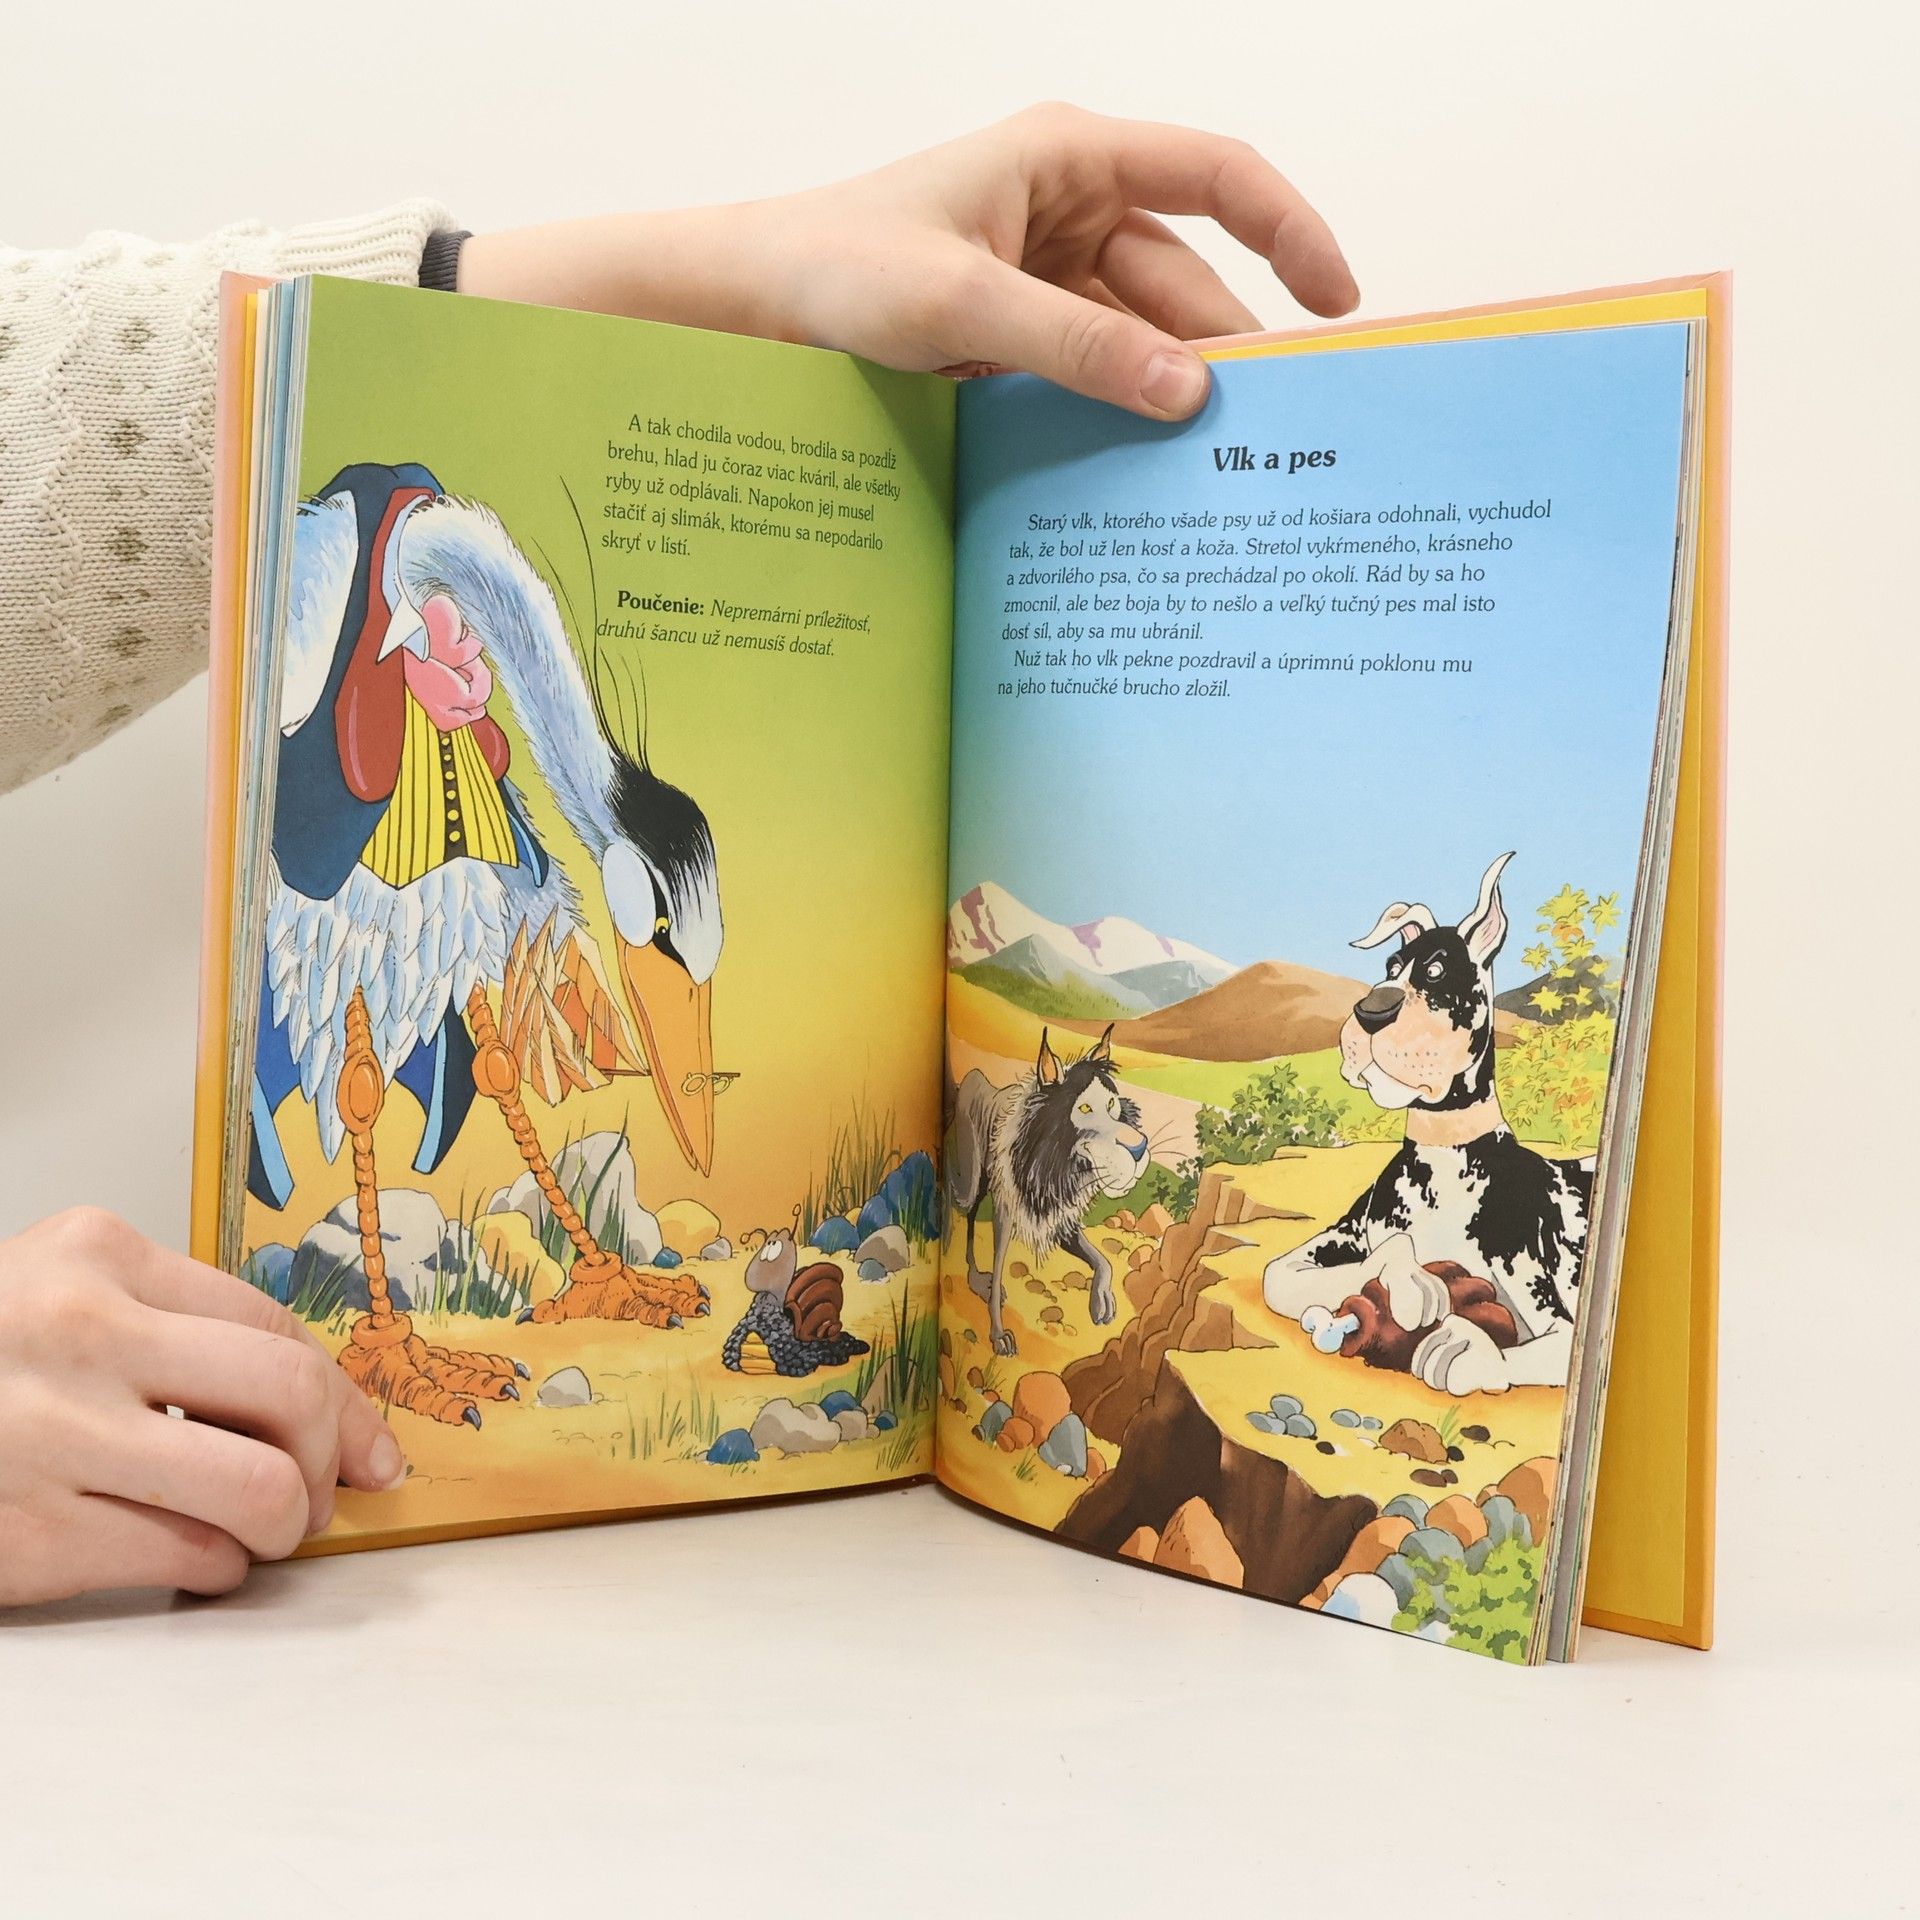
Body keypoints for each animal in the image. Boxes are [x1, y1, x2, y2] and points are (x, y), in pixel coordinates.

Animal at [946, 1025, 1149, 1356]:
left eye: (1111, 1104)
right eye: (1084, 1108)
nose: (1139, 1148)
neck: (1056, 1165)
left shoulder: (1058, 1216)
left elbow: (1102, 1261)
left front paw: (1102, 1300)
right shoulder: (1007, 1211)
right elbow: (999, 1265)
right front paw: (999, 1335)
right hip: (971, 1179)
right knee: (962, 1206)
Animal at [1261, 853, 1593, 1395]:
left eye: (1436, 971)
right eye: (1391, 968)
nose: (1371, 1009)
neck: (1443, 1158)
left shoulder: (1550, 1306)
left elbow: (1541, 1350)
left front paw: (1466, 1350)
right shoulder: (1338, 1237)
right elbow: (1280, 1275)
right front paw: (1410, 1279)